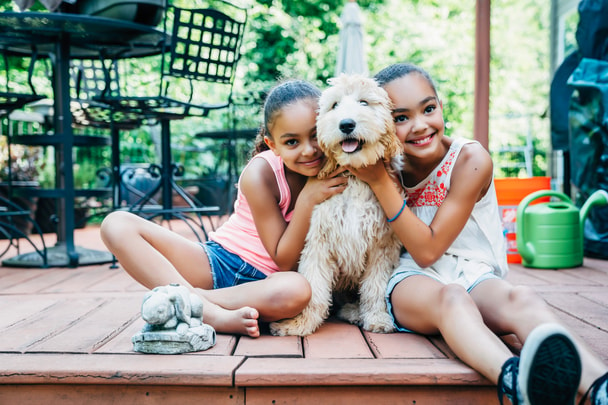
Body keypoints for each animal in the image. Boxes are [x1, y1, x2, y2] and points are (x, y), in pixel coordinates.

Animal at [270, 74, 404, 336]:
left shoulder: (382, 245)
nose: (346, 124)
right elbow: (314, 291)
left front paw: (377, 318)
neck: (353, 178)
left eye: (364, 102)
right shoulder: (319, 243)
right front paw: (300, 324)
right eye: (334, 105)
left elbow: (375, 287)